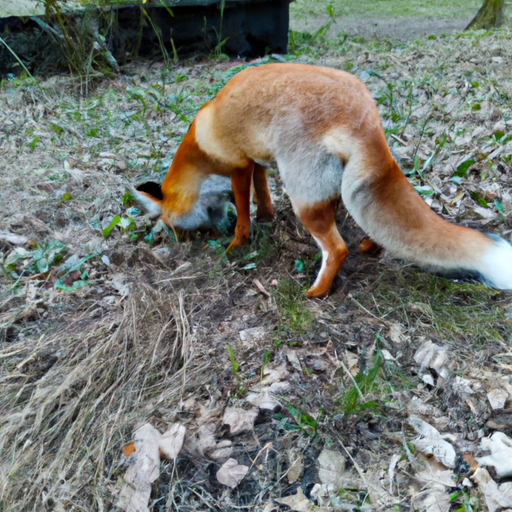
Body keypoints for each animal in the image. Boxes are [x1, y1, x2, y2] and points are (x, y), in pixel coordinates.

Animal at [136, 62, 512, 298]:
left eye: (171, 224)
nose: (179, 242)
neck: (201, 143)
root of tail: (366, 117)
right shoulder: (258, 161)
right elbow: (263, 194)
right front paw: (266, 217)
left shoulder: (239, 165)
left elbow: (243, 211)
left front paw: (236, 243)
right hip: (341, 189)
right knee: (364, 226)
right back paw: (369, 248)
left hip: (304, 198)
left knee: (336, 248)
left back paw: (317, 292)